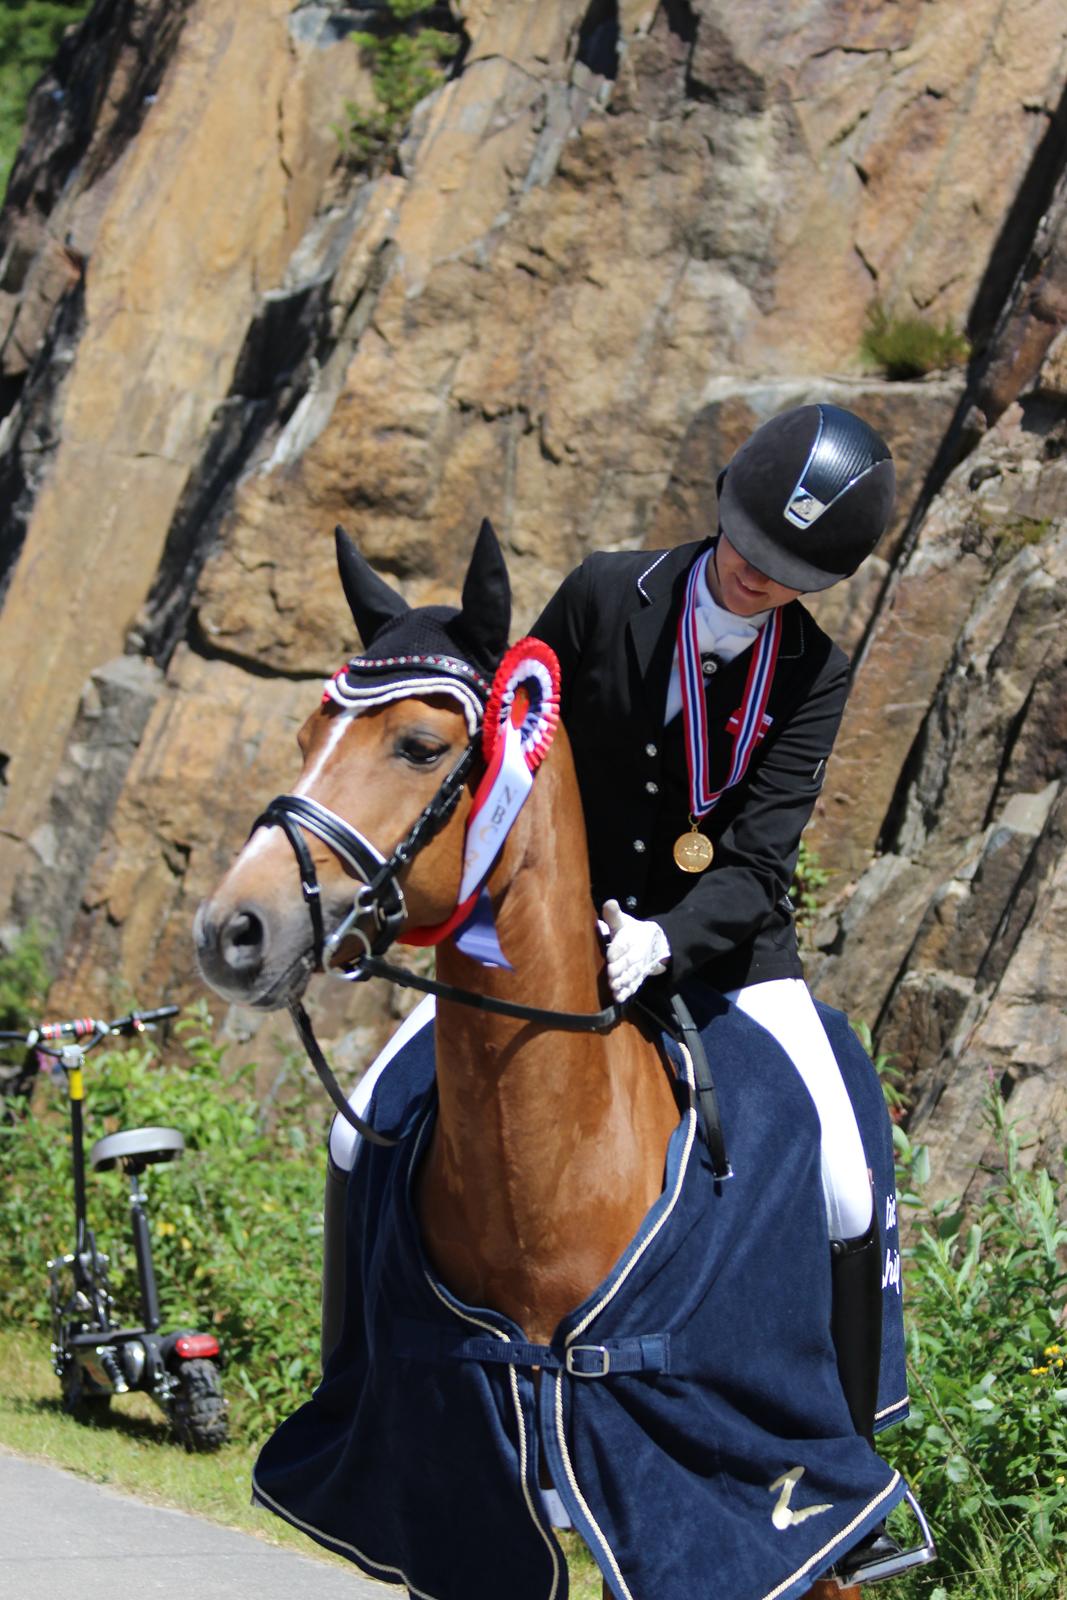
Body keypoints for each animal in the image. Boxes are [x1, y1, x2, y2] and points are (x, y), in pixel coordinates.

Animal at [194, 521, 920, 1600]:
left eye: (420, 747)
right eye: (304, 738)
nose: (233, 931)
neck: (551, 1168)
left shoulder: (692, 1505)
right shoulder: (458, 1505)